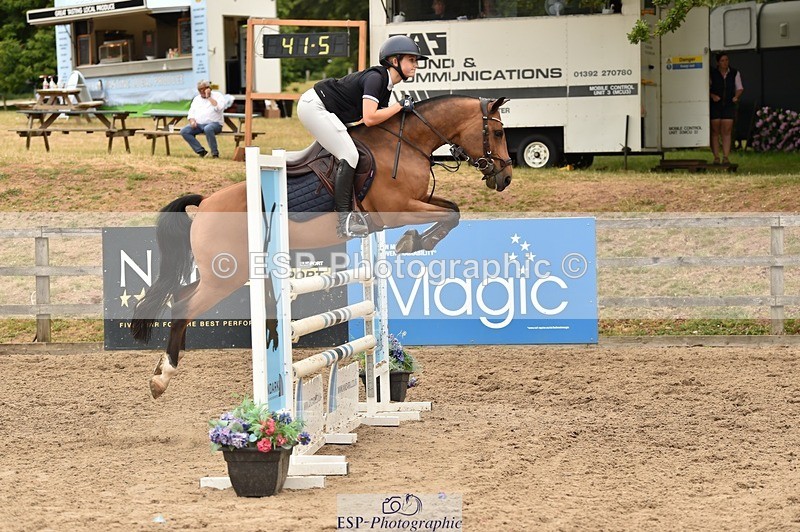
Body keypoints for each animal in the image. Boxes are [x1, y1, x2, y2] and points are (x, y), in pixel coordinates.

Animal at [131, 95, 512, 399]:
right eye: (498, 133)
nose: (505, 177)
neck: (405, 143)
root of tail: (206, 203)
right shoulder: (399, 208)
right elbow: (450, 214)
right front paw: (414, 241)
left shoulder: (417, 201)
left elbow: (452, 210)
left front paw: (415, 241)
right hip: (227, 275)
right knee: (184, 304)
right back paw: (163, 377)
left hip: (223, 271)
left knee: (181, 294)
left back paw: (162, 368)